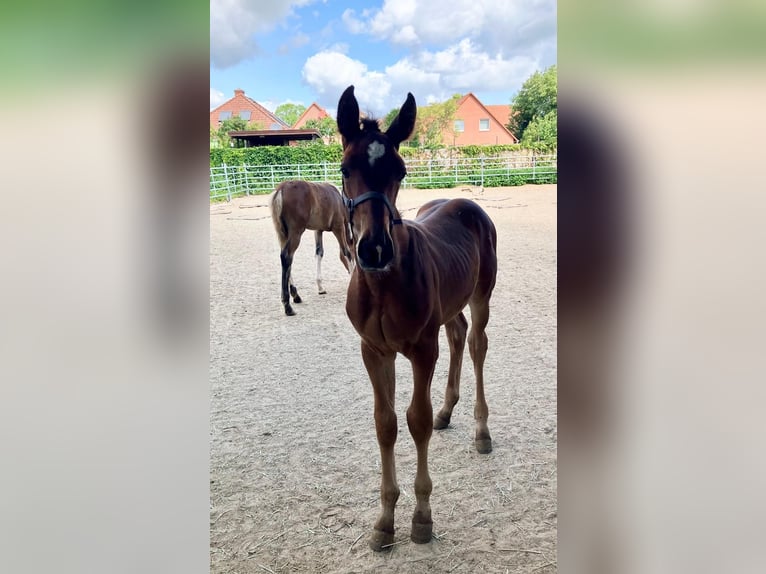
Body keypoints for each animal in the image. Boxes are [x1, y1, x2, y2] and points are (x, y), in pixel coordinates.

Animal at [270, 180, 355, 316]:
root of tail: (281, 189)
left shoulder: (318, 230)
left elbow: (319, 253)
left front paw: (320, 287)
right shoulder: (338, 227)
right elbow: (346, 251)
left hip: (283, 234)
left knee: (286, 259)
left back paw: (296, 295)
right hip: (296, 232)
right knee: (287, 256)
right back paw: (287, 305)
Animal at [336, 86, 498, 551]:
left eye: (401, 170)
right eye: (346, 168)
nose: (374, 249)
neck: (383, 285)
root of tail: (464, 201)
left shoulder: (423, 349)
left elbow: (416, 421)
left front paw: (422, 517)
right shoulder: (375, 351)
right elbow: (386, 423)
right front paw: (384, 521)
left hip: (481, 296)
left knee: (477, 345)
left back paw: (481, 431)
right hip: (450, 307)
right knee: (459, 334)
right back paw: (448, 411)